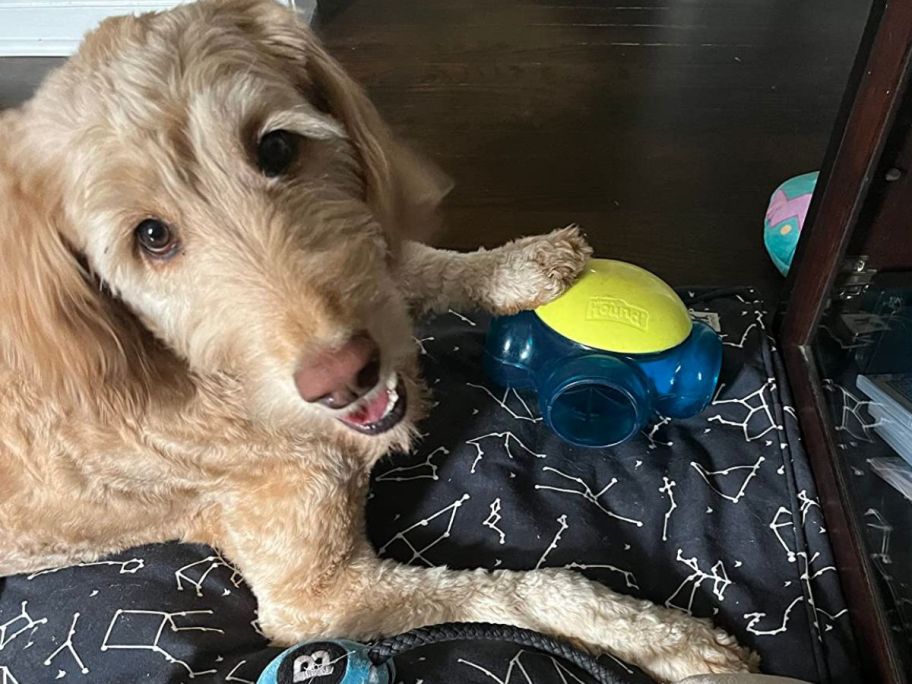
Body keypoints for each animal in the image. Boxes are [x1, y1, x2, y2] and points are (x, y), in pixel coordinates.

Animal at [0, 2, 756, 680]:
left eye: (276, 147)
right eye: (150, 237)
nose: (344, 374)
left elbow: (409, 263)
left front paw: (521, 264)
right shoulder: (319, 599)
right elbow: (519, 591)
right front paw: (666, 639)